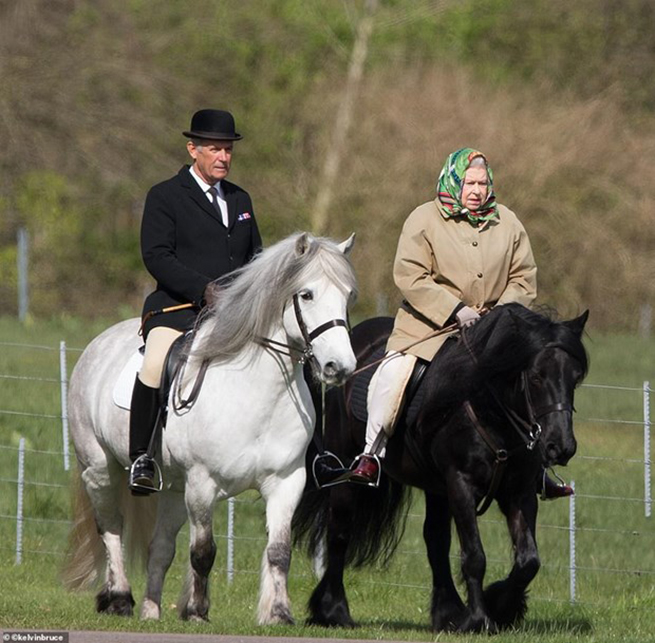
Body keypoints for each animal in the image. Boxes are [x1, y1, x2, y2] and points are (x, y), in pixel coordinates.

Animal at [62, 231, 358, 624]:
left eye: (348, 295)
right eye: (307, 294)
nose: (339, 367)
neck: (256, 394)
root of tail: (99, 343)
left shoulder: (286, 482)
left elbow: (279, 551)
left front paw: (279, 613)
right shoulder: (203, 483)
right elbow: (203, 552)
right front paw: (198, 612)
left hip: (173, 488)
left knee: (160, 547)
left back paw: (151, 611)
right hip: (100, 469)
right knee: (111, 529)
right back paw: (120, 598)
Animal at [294, 306, 592, 632]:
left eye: (575, 377)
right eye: (537, 377)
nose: (561, 447)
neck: (489, 409)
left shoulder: (519, 491)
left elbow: (528, 561)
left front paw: (501, 606)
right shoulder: (461, 484)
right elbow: (474, 557)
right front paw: (479, 619)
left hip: (436, 489)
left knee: (435, 540)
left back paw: (447, 613)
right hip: (347, 467)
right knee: (339, 532)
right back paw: (333, 611)